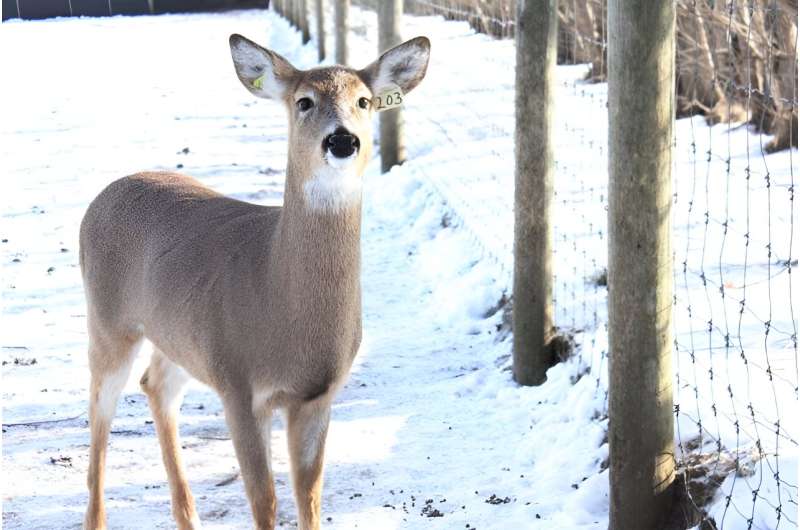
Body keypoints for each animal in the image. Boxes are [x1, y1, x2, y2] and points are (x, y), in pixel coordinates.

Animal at [79, 34, 432, 528]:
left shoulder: (317, 394)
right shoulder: (238, 384)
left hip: (178, 338)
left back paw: (188, 515)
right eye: (304, 101)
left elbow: (310, 495)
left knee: (156, 385)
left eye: (364, 101)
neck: (275, 293)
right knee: (99, 411)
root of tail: (103, 195)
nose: (343, 139)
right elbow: (264, 500)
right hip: (109, 321)